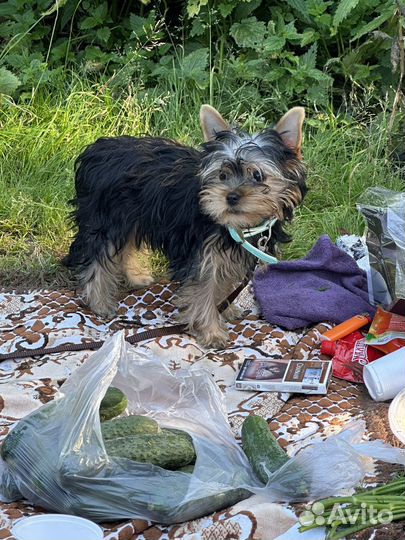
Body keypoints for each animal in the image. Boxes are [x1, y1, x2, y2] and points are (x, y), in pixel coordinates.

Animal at [63, 105, 306, 348]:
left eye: (257, 175)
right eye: (222, 175)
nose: (231, 196)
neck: (241, 225)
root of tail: (97, 150)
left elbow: (223, 282)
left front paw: (226, 307)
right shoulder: (203, 255)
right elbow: (203, 291)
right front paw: (211, 331)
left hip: (131, 219)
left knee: (125, 248)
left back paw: (135, 278)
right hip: (106, 220)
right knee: (98, 257)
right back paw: (99, 302)